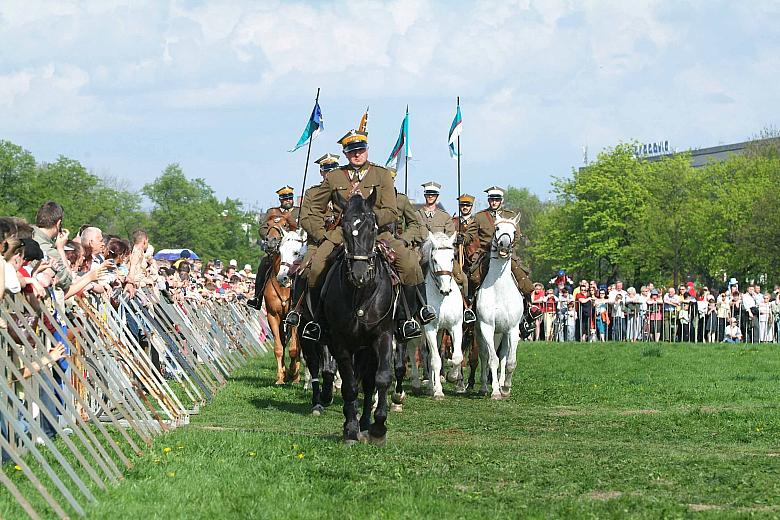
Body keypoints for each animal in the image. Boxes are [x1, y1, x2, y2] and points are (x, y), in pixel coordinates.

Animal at [322, 191, 396, 446]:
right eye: (344, 228)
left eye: (373, 228)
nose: (360, 274)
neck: (361, 295)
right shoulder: (340, 341)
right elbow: (350, 385)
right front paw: (351, 429)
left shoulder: (383, 335)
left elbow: (382, 378)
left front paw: (379, 428)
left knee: (371, 380)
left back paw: (367, 422)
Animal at [408, 232, 464, 398]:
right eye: (435, 259)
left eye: (452, 258)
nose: (446, 289)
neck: (442, 298)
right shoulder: (430, 329)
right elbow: (436, 360)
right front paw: (438, 391)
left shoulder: (454, 327)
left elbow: (456, 356)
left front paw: (452, 376)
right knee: (414, 351)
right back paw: (417, 383)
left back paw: (430, 386)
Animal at [476, 213, 524, 400]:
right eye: (497, 228)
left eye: (514, 231)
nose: (504, 244)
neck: (499, 289)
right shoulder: (487, 327)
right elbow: (492, 359)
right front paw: (495, 391)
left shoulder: (512, 329)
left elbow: (510, 361)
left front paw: (506, 388)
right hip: (483, 332)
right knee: (484, 355)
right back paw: (484, 387)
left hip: (502, 333)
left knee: (503, 355)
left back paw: (502, 382)